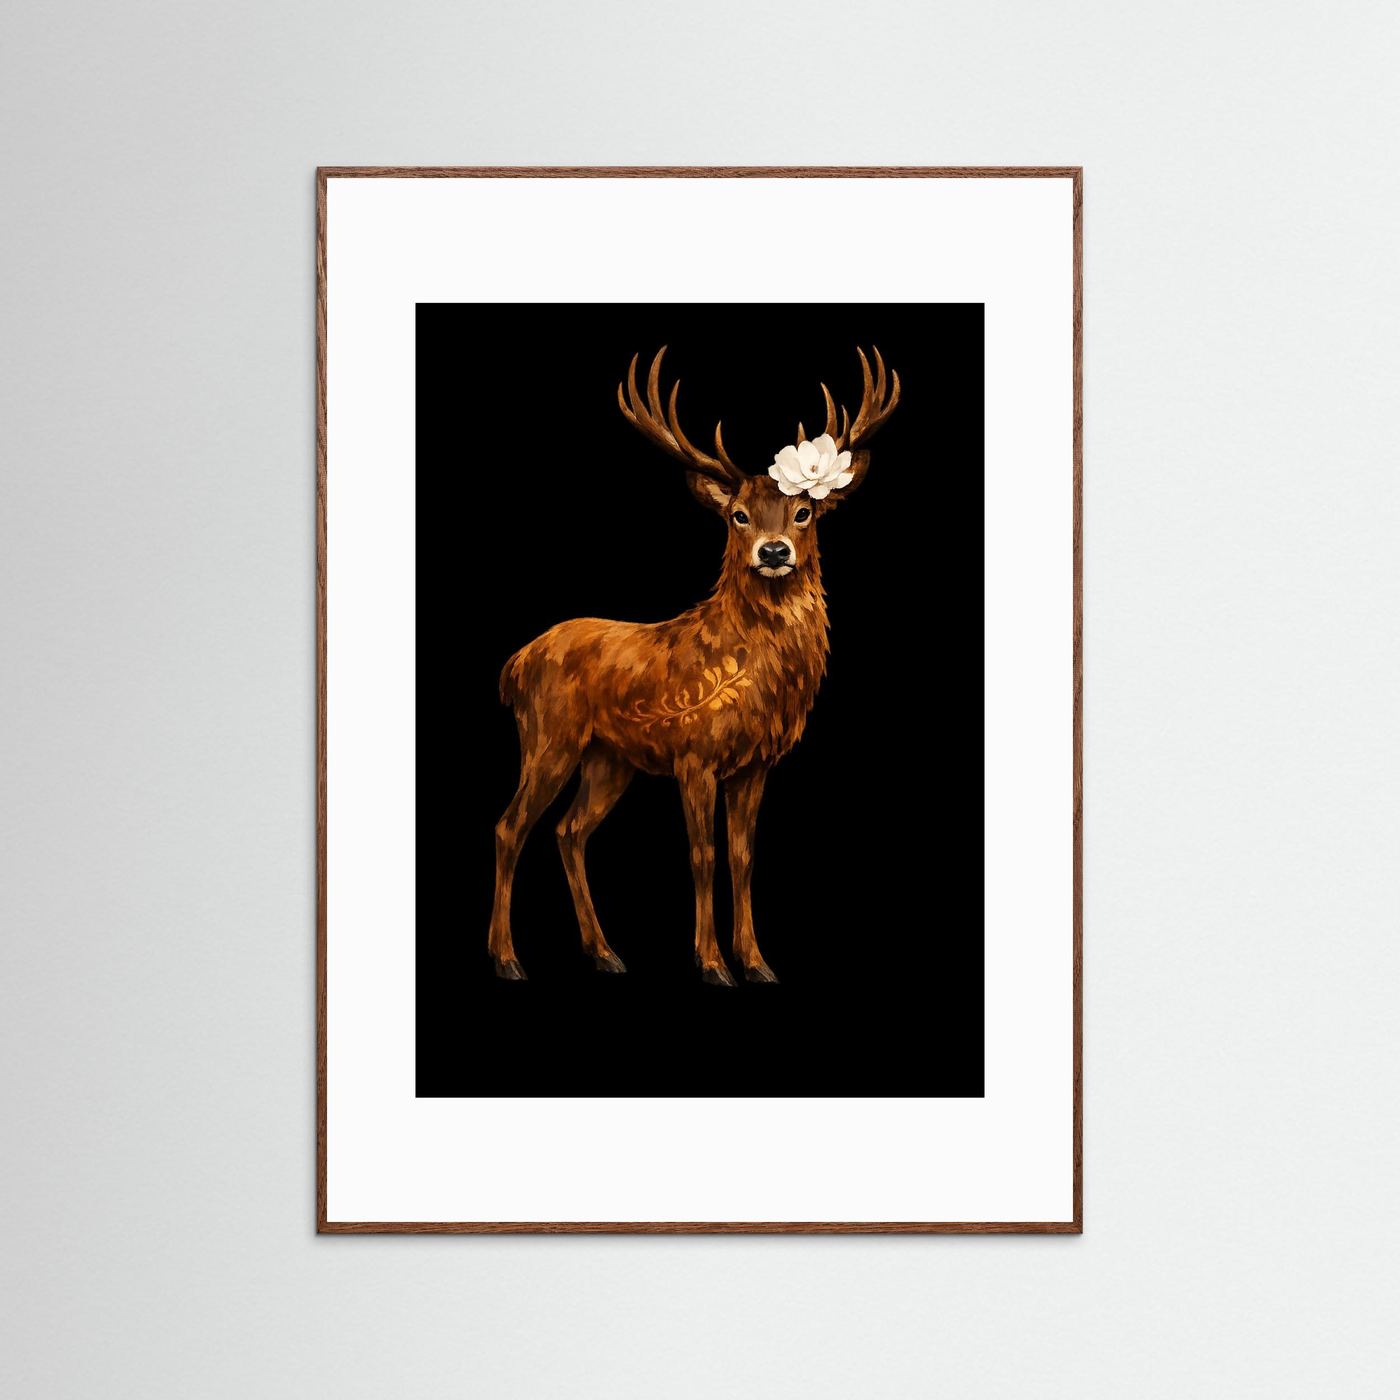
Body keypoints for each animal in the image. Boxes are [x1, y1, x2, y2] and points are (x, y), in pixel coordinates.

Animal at [489, 345, 900, 985]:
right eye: (737, 515)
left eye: (804, 512)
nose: (774, 552)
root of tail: (515, 663)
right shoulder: (694, 755)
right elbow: (702, 855)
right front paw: (711, 964)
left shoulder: (755, 764)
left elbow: (743, 856)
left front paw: (756, 962)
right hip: (548, 735)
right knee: (511, 827)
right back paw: (508, 958)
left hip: (609, 759)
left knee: (570, 831)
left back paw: (605, 953)